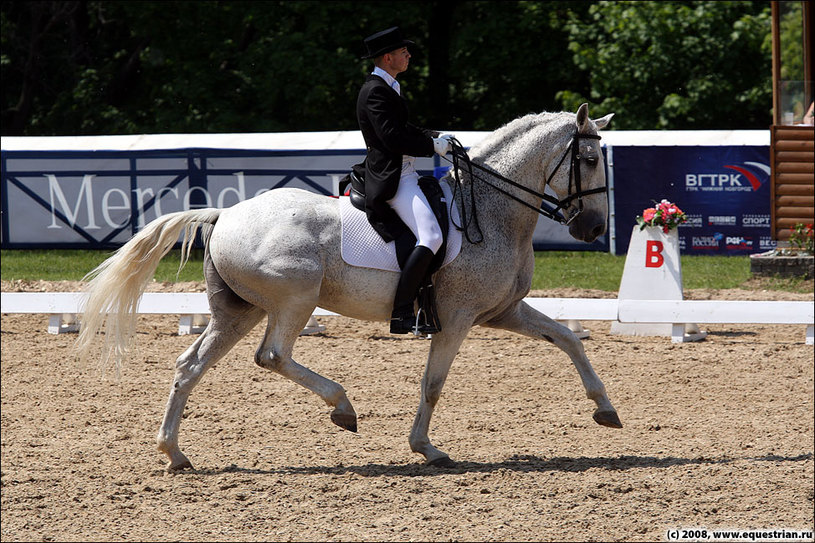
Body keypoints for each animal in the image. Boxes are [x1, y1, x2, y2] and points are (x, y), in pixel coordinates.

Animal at [78, 104, 624, 470]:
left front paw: (606, 410)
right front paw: (426, 448)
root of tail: (224, 213)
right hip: (294, 301)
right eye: (589, 160)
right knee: (272, 356)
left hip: (238, 312)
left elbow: (569, 338)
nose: (594, 228)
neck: (490, 210)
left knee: (190, 366)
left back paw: (175, 454)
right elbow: (433, 384)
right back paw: (342, 407)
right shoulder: (458, 319)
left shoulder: (502, 311)